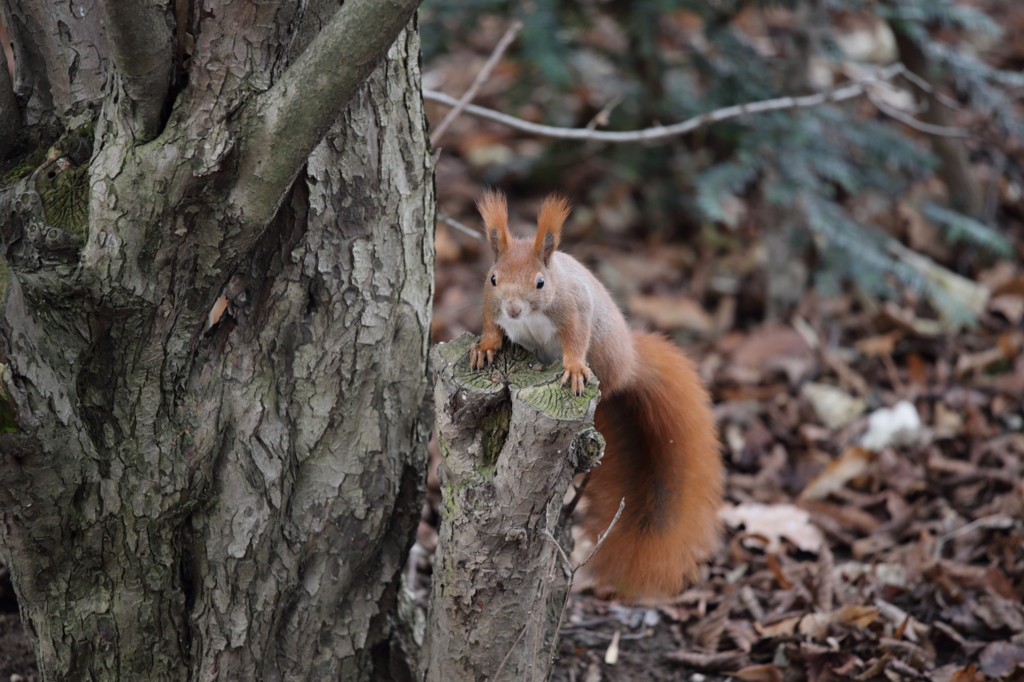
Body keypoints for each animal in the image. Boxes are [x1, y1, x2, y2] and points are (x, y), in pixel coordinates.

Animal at [468, 189, 724, 593]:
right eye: (493, 279)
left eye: (540, 283)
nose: (513, 308)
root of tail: (629, 367)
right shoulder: (490, 305)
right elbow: (491, 325)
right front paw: (485, 347)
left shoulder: (573, 310)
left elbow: (575, 339)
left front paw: (573, 368)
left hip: (605, 354)